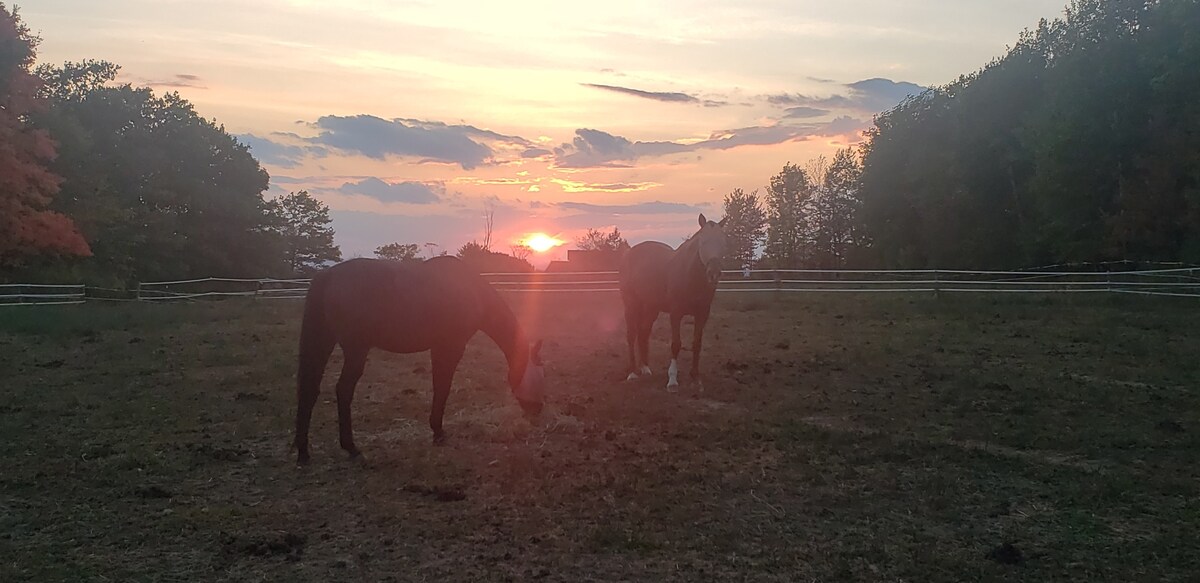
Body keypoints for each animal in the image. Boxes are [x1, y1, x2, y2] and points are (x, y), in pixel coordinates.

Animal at [292, 256, 547, 465]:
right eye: (540, 378)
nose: (537, 413)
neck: (471, 290)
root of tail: (327, 275)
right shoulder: (451, 347)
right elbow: (443, 387)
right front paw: (439, 433)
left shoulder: (439, 348)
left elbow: (438, 386)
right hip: (356, 350)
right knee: (343, 390)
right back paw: (351, 448)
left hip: (325, 342)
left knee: (309, 388)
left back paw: (303, 452)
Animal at [619, 212, 729, 388]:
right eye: (703, 241)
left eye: (723, 242)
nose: (714, 273)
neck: (690, 275)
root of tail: (628, 254)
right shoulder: (676, 313)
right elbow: (676, 344)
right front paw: (672, 379)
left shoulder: (702, 314)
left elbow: (697, 343)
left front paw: (695, 377)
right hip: (631, 305)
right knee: (631, 335)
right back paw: (633, 373)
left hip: (651, 308)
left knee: (643, 333)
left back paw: (645, 369)